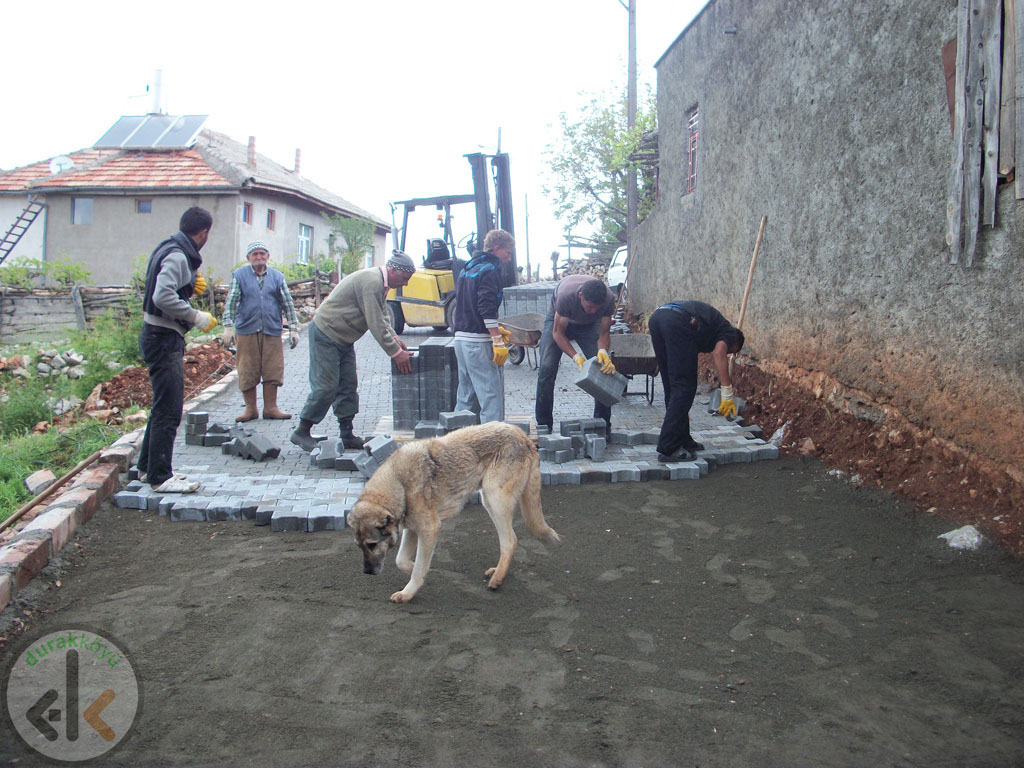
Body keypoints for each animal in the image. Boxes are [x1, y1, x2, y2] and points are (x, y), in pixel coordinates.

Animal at [350, 423, 561, 606]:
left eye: (372, 544)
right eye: (359, 546)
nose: (367, 572)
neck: (400, 483)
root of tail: (525, 437)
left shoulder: (429, 530)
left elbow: (418, 567)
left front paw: (409, 590)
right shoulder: (413, 530)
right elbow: (401, 561)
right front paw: (414, 570)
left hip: (494, 499)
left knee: (510, 541)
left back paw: (497, 579)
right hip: (489, 501)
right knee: (510, 540)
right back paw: (497, 571)